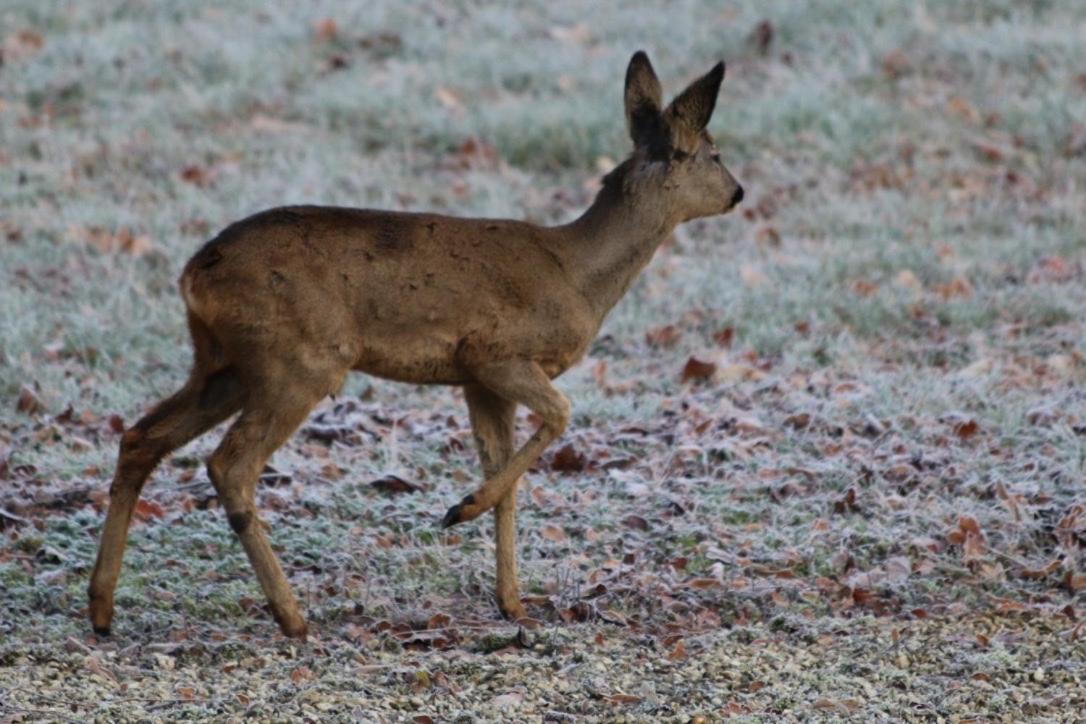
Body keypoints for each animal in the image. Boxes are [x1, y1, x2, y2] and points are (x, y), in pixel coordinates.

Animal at [89, 52, 742, 638]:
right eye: (714, 153)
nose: (738, 192)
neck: (577, 273)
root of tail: (193, 274)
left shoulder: (477, 382)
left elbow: (509, 479)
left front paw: (513, 604)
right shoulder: (494, 352)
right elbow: (560, 415)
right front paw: (460, 509)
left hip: (223, 363)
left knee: (141, 438)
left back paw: (101, 609)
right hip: (296, 360)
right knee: (230, 464)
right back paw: (292, 617)